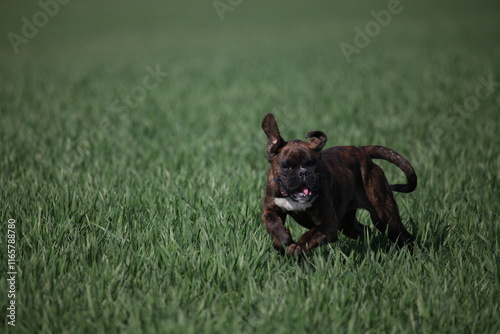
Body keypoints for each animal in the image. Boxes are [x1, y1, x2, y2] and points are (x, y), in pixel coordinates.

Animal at [262, 113, 418, 256]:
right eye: (287, 166)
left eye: (312, 164)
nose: (303, 173)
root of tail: (361, 151)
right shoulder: (270, 210)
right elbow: (274, 225)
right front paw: (283, 241)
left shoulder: (328, 225)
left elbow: (309, 235)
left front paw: (297, 247)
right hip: (347, 224)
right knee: (365, 230)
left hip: (385, 218)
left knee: (404, 237)